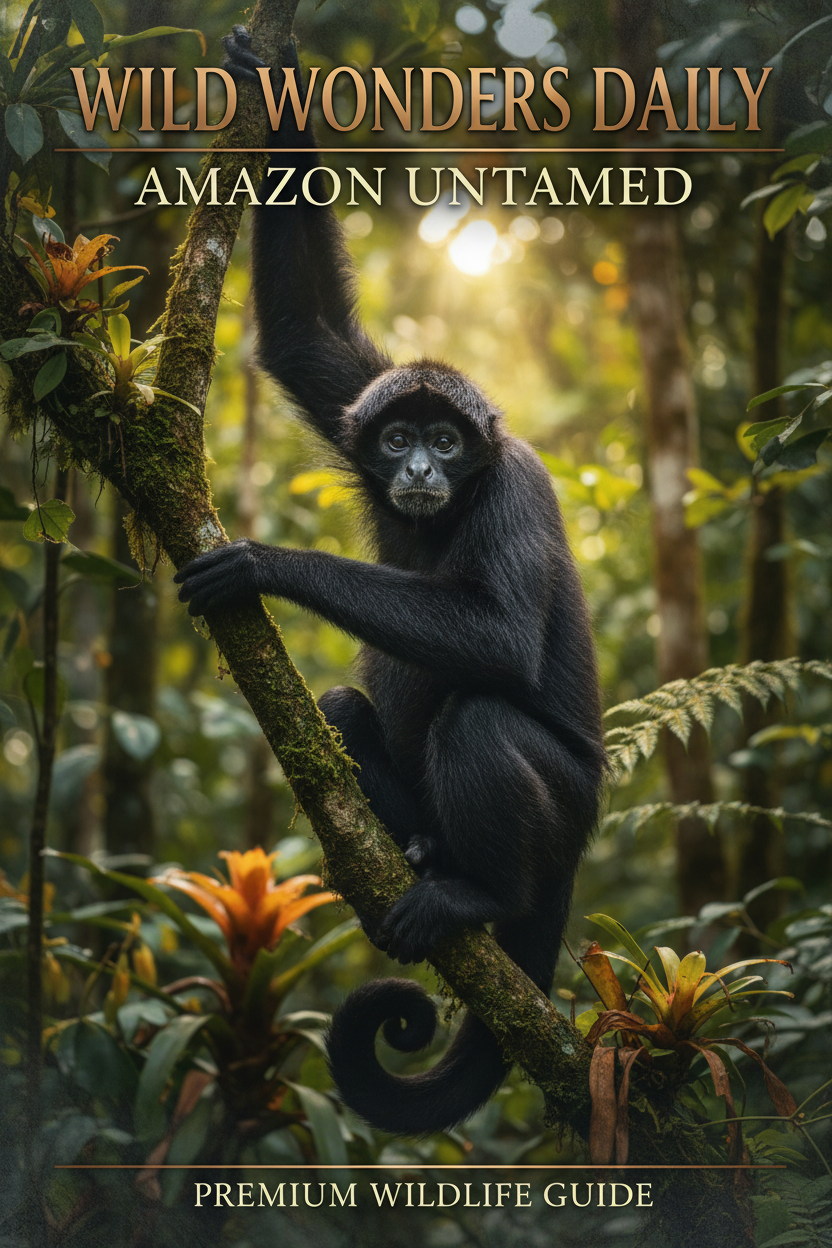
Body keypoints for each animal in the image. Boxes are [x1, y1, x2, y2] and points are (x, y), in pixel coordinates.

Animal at [174, 27, 606, 1136]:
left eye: (448, 444)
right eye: (401, 437)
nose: (416, 468)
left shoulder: (514, 486)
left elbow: (499, 640)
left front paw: (262, 563)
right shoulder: (355, 402)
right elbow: (305, 340)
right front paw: (274, 87)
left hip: (569, 806)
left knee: (479, 719)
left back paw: (480, 897)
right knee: (336, 708)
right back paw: (414, 855)